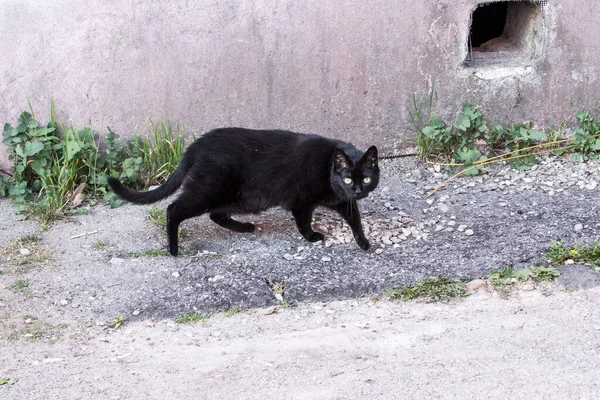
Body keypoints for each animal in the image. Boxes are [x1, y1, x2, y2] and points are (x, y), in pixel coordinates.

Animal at [108, 130, 380, 258]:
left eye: (366, 179)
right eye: (347, 178)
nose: (357, 191)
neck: (327, 168)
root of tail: (196, 145)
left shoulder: (343, 201)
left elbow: (355, 219)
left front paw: (363, 242)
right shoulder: (302, 202)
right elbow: (304, 221)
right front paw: (312, 237)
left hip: (239, 198)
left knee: (216, 215)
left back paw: (245, 227)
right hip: (210, 191)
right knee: (173, 209)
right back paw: (173, 249)